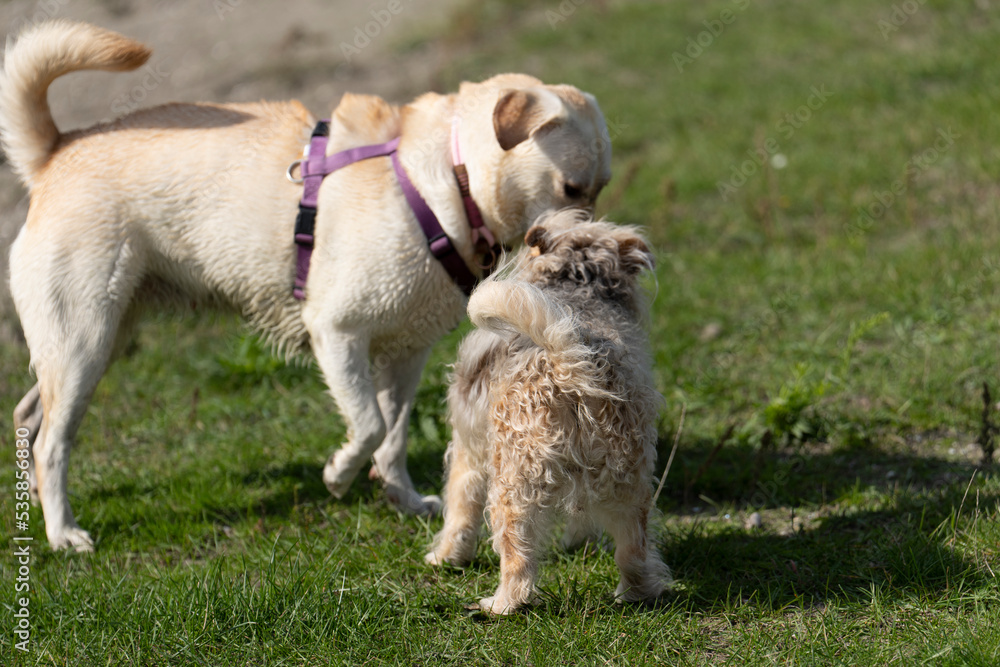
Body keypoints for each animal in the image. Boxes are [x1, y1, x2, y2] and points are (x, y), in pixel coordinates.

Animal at [0, 22, 612, 552]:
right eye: (571, 187)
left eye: (600, 188)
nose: (588, 243)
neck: (447, 181)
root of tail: (53, 153)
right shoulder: (337, 334)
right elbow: (368, 425)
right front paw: (339, 475)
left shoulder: (406, 355)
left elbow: (393, 435)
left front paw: (402, 498)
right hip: (84, 341)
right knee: (53, 442)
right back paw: (62, 533)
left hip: (96, 340)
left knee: (31, 417)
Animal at [424, 211, 672, 612]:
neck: (577, 281)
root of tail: (568, 363)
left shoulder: (467, 449)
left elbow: (459, 510)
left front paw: (446, 558)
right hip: (628, 483)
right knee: (633, 550)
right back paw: (636, 594)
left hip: (512, 487)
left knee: (518, 561)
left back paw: (500, 605)